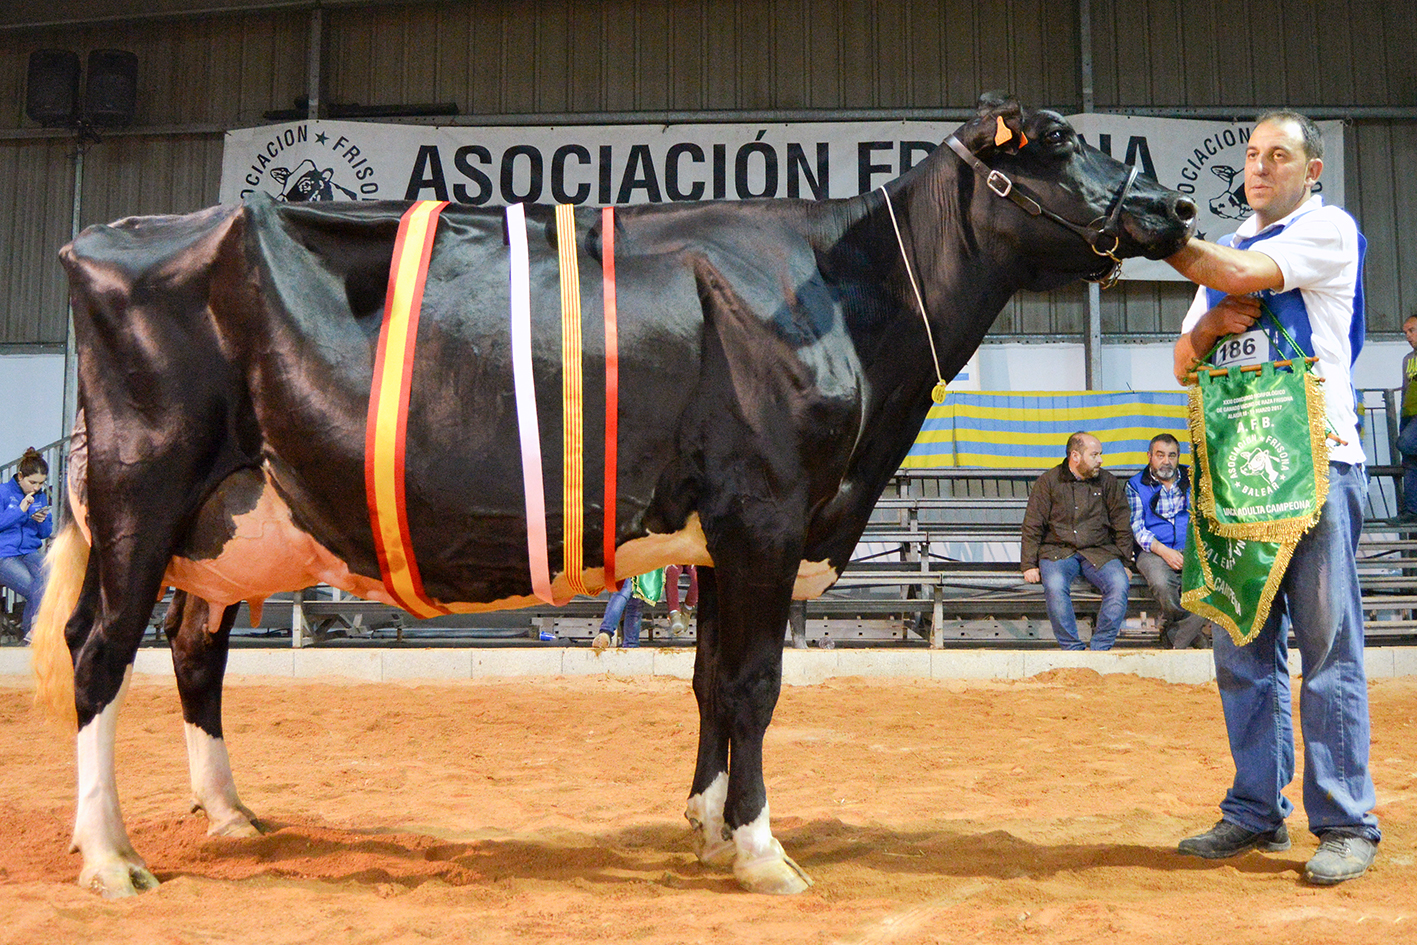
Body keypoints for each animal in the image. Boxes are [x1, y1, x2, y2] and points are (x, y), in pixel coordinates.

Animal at [33, 92, 1190, 901]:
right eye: (1053, 140)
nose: (1173, 204)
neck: (843, 295)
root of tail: (108, 235)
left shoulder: (721, 538)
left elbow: (713, 681)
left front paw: (708, 824)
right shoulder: (767, 514)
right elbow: (756, 684)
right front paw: (762, 849)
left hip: (229, 520)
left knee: (193, 648)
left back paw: (231, 814)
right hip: (144, 484)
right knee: (99, 650)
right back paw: (111, 856)